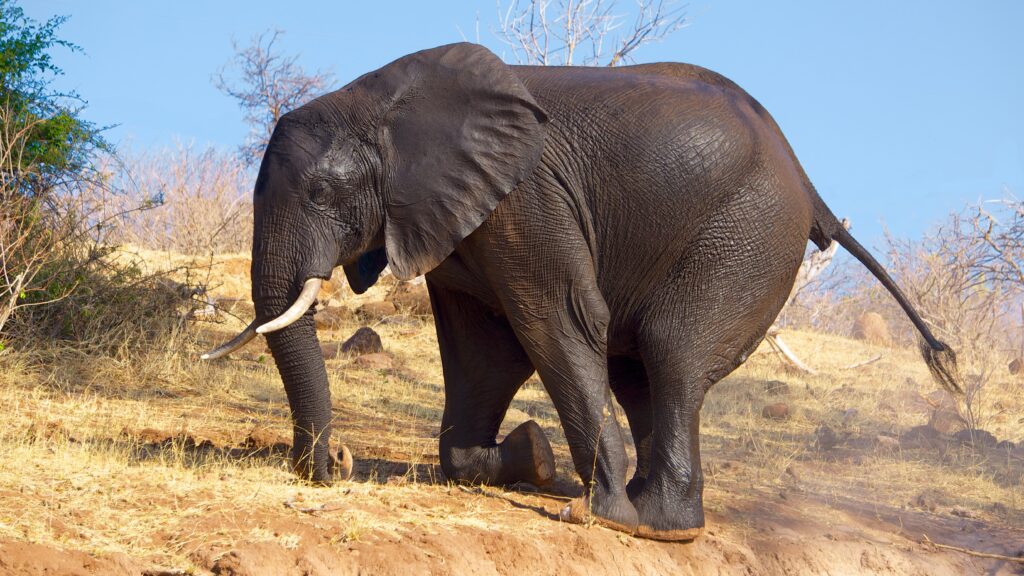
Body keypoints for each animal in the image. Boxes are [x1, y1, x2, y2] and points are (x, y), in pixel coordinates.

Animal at [203, 43, 962, 537]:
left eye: (322, 194)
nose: (335, 463)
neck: (382, 102)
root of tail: (808, 182)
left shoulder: (526, 199)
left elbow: (556, 322)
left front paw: (601, 514)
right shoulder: (456, 218)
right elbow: (482, 352)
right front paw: (531, 458)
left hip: (751, 231)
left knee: (670, 350)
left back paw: (654, 525)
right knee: (638, 369)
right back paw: (645, 504)